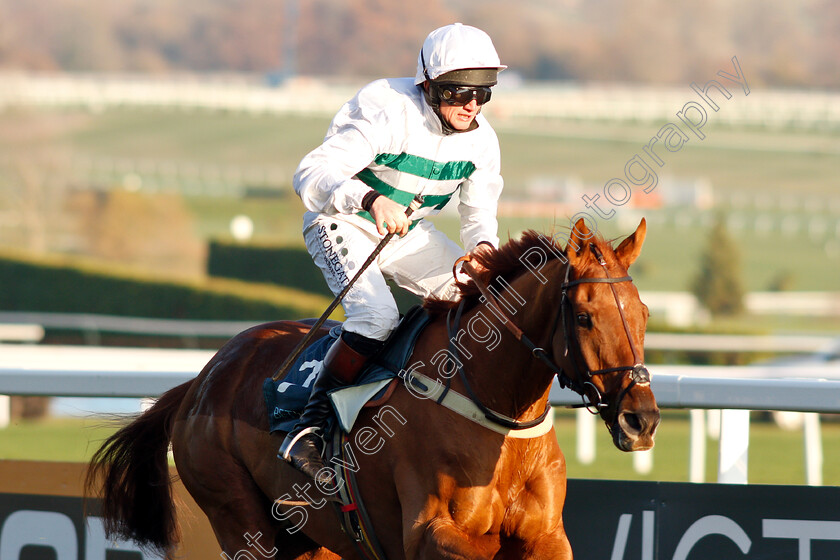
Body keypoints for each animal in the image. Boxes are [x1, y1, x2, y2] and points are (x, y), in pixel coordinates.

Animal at [88, 219, 660, 560]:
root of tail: (200, 381)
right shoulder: (429, 532)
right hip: (238, 516)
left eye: (643, 313)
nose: (641, 420)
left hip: (312, 538)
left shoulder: (547, 536)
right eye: (584, 316)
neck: (492, 411)